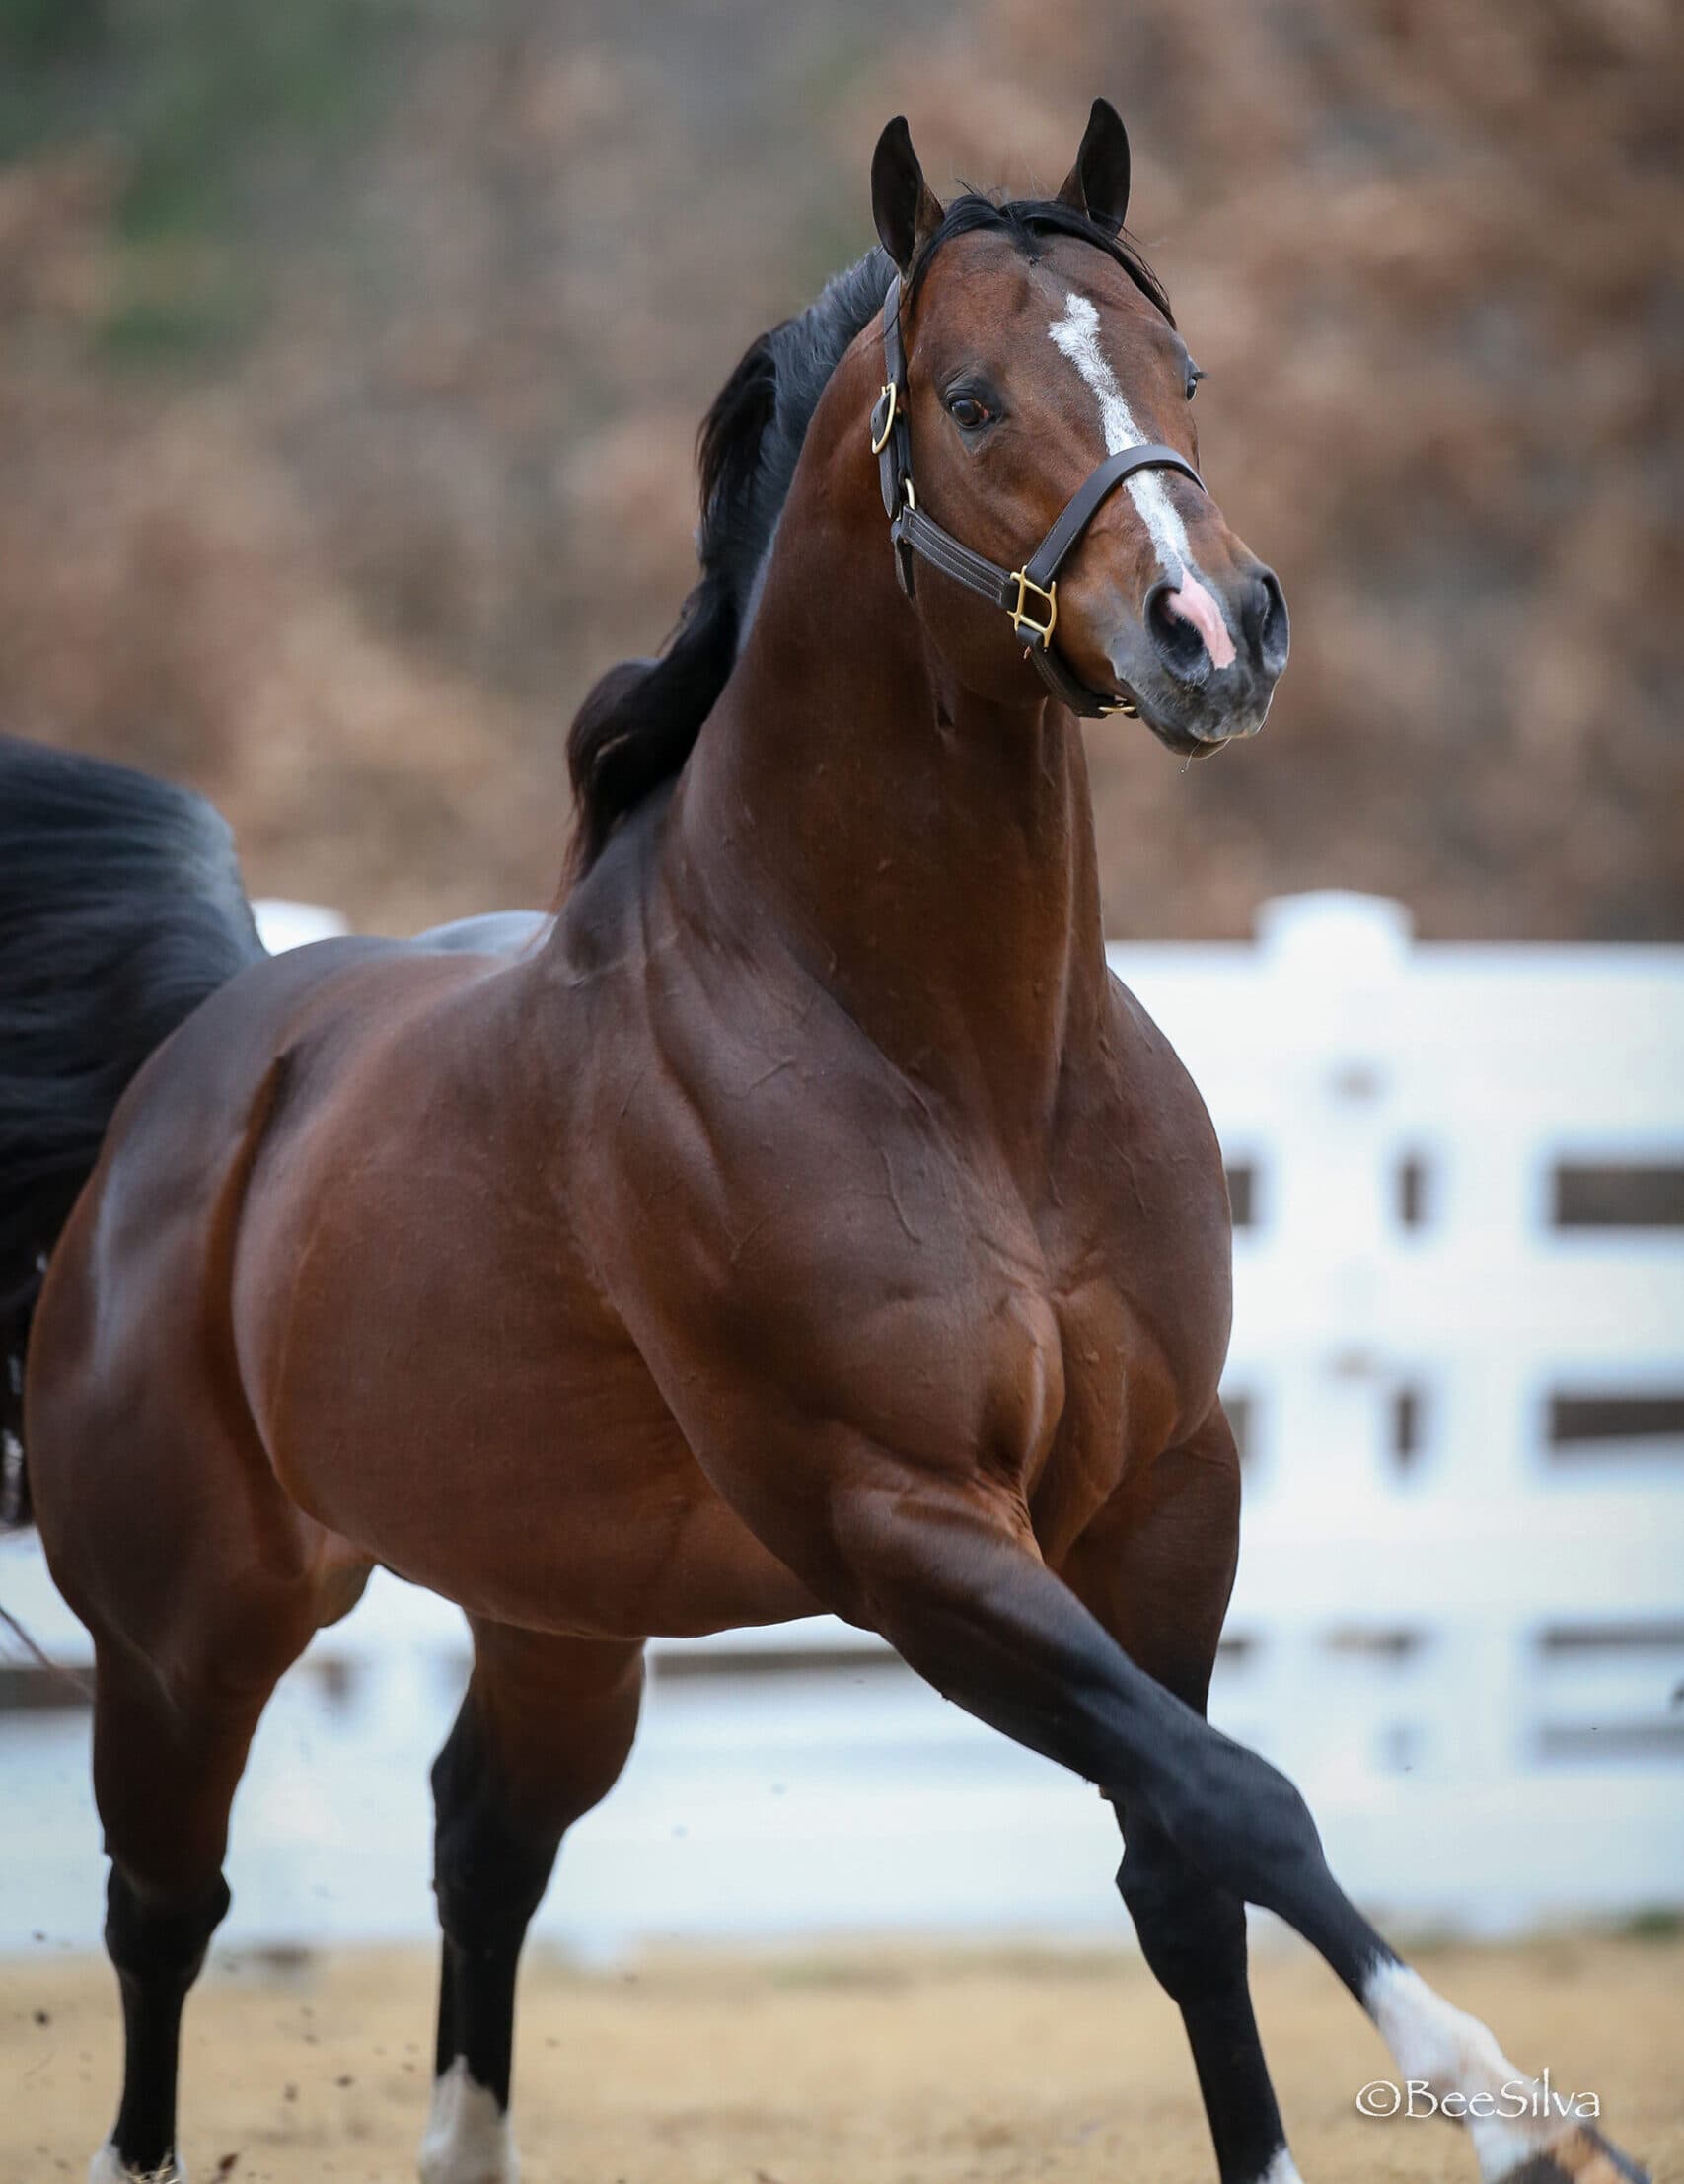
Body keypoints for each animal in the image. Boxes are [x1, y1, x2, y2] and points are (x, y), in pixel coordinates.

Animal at [0, 100, 1648, 2184]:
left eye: (1180, 371)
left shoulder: (1161, 1495)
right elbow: (1240, 1796)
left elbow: (1184, 1864)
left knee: (482, 1838)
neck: (960, 1067)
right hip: (191, 1631)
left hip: (559, 1615)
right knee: (166, 1913)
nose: (1213, 633)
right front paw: (1516, 2113)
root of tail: (199, 1079)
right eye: (969, 396)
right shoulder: (906, 1524)